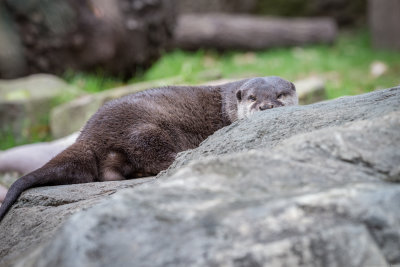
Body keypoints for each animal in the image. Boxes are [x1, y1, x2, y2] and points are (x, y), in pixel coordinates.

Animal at [0, 77, 296, 222]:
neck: (227, 106)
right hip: (148, 130)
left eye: (280, 95)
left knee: (108, 173)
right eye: (253, 98)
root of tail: (87, 133)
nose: (266, 106)